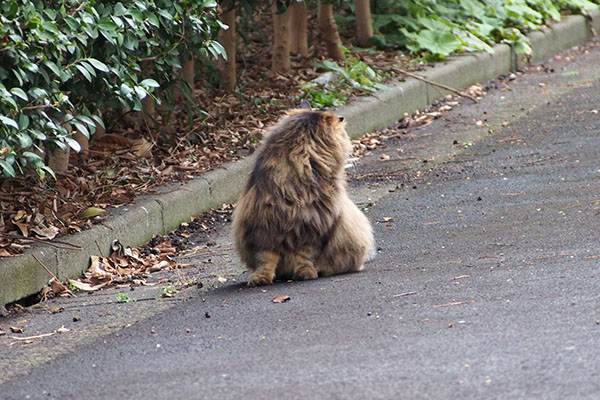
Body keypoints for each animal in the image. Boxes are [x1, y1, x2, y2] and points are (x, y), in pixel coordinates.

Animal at [232, 101, 372, 286]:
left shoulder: (314, 227)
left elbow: (305, 256)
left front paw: (305, 272)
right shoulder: (264, 228)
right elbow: (265, 259)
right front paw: (260, 278)